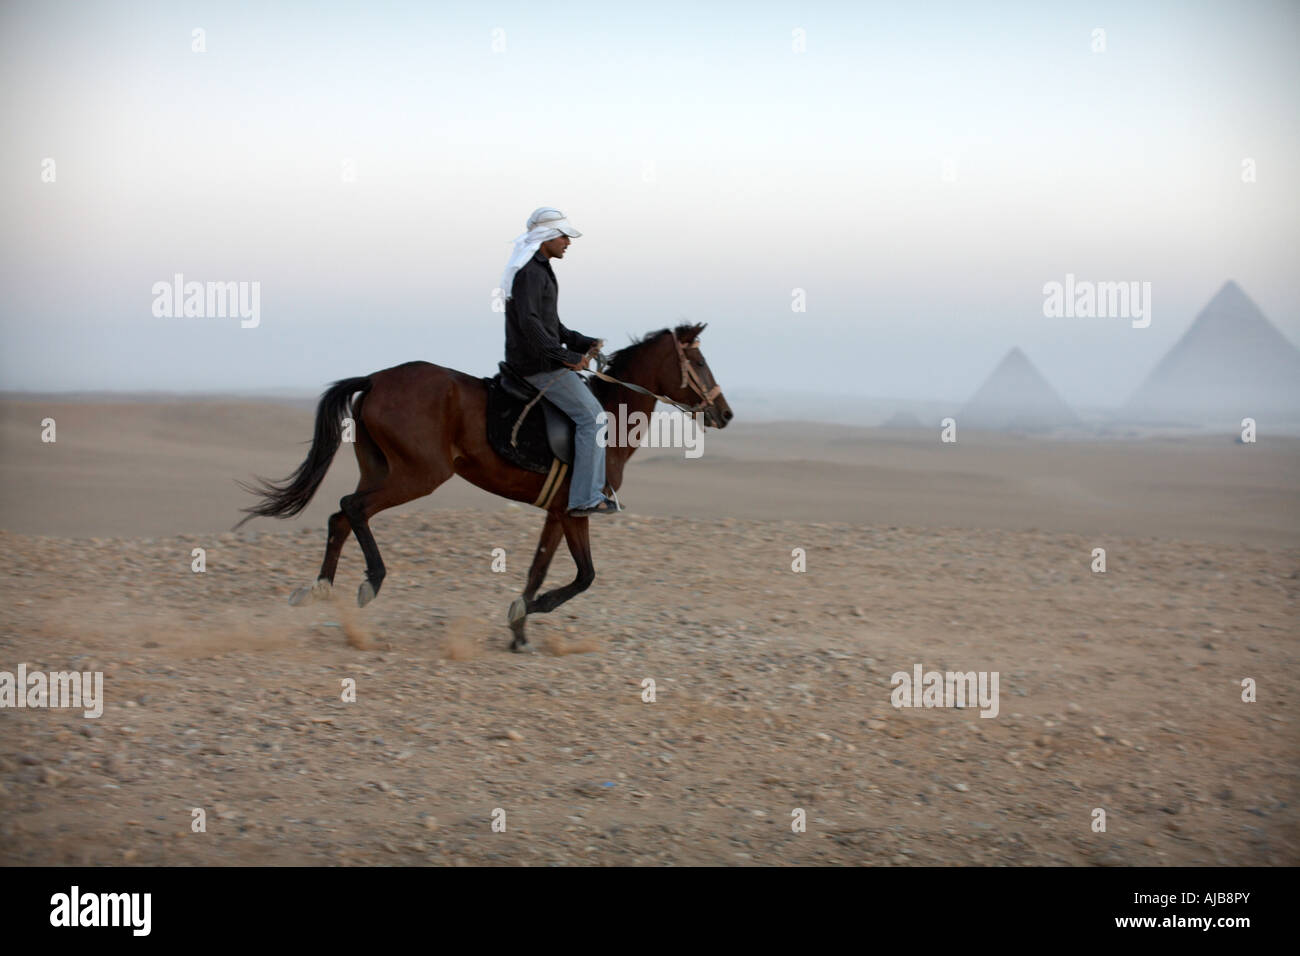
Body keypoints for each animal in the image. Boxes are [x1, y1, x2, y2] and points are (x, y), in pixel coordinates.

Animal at [236, 321, 733, 650]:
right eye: (699, 361)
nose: (724, 413)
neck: (610, 415)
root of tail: (375, 379)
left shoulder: (558, 511)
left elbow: (540, 569)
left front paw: (519, 630)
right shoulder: (577, 511)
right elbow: (584, 576)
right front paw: (525, 614)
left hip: (380, 469)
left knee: (340, 516)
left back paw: (318, 589)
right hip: (417, 475)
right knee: (352, 507)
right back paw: (370, 583)